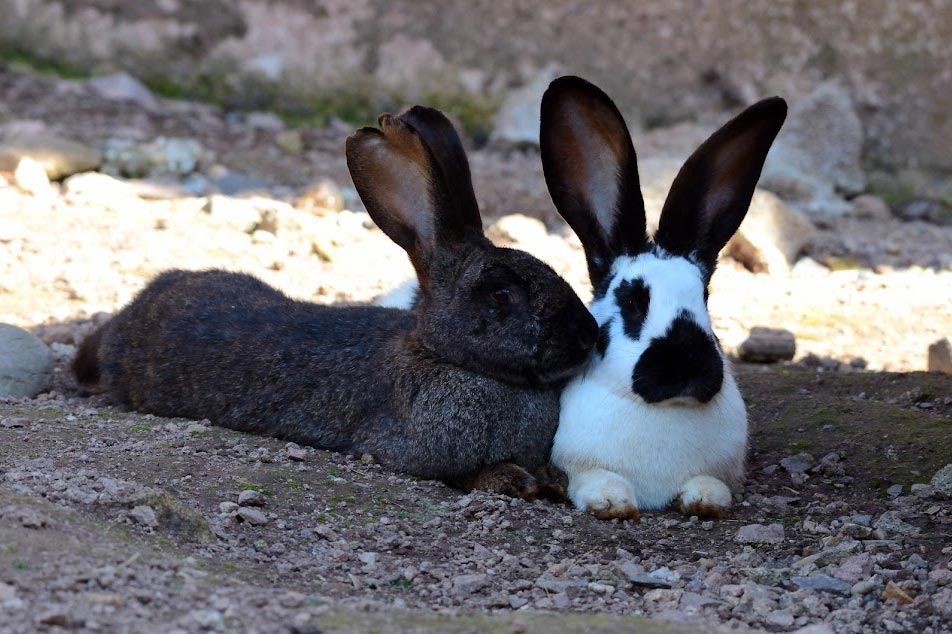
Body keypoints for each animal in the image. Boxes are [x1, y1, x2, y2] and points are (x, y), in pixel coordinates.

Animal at [72, 106, 598, 500]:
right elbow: (466, 474)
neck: (442, 357)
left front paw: (552, 479)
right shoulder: (412, 450)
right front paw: (518, 480)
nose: (588, 336)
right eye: (501, 293)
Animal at [538, 76, 787, 519]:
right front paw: (611, 502)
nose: (686, 364)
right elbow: (594, 479)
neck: (666, 410)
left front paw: (706, 501)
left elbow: (709, 484)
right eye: (633, 302)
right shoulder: (576, 463)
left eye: (704, 297)